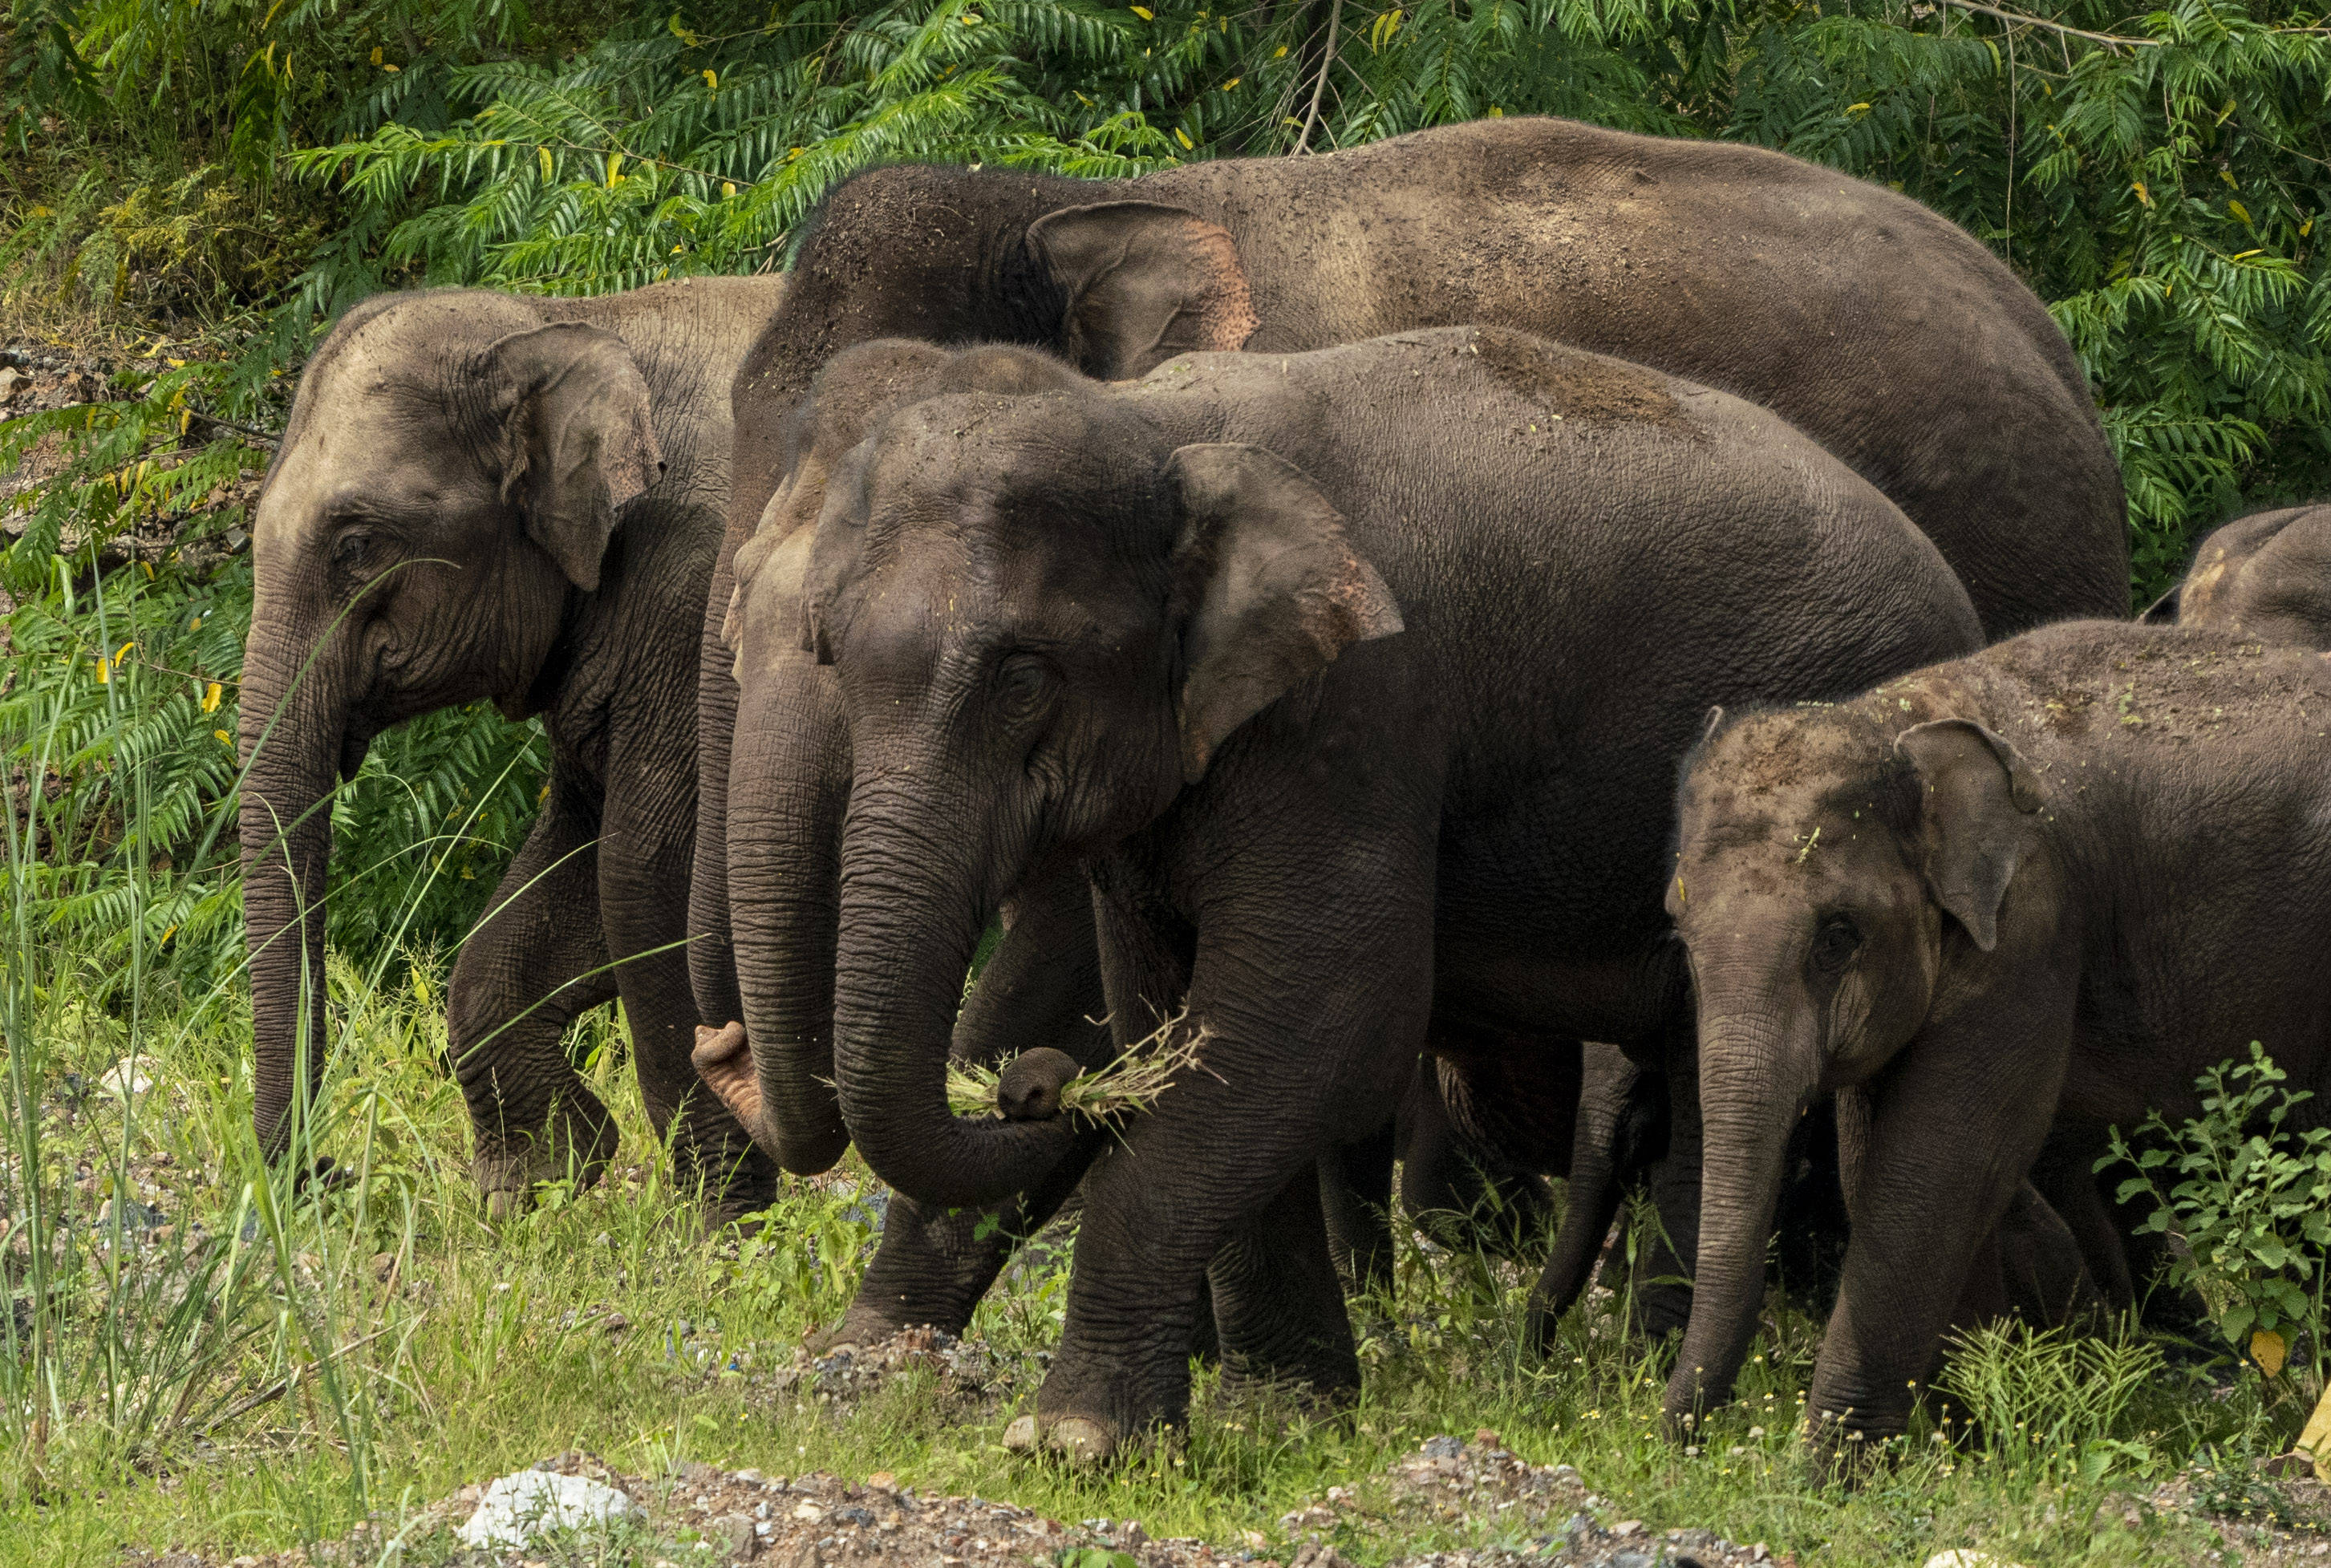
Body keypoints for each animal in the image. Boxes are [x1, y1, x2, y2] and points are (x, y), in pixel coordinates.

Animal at [240, 278, 783, 1211]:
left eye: (357, 546)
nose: (330, 1175)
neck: (567, 321)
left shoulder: (700, 602)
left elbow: (645, 873)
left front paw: (724, 1225)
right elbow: (574, 866)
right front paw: (536, 1183)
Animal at [732, 323, 1985, 1463]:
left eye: (1024, 676)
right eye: (831, 651)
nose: (1030, 1087)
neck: (1152, 423)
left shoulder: (1361, 711)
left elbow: (1323, 1014)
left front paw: (1074, 1438)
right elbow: (1173, 1014)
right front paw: (1280, 1412)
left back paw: (1646, 1383)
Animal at [1668, 619, 2331, 1453]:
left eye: (1837, 937)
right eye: (1679, 931)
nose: (1678, 1443)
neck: (1897, 719)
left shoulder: (2033, 926)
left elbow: (1937, 1164)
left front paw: (1831, 1467)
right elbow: (1882, 1161)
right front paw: (1976, 1437)